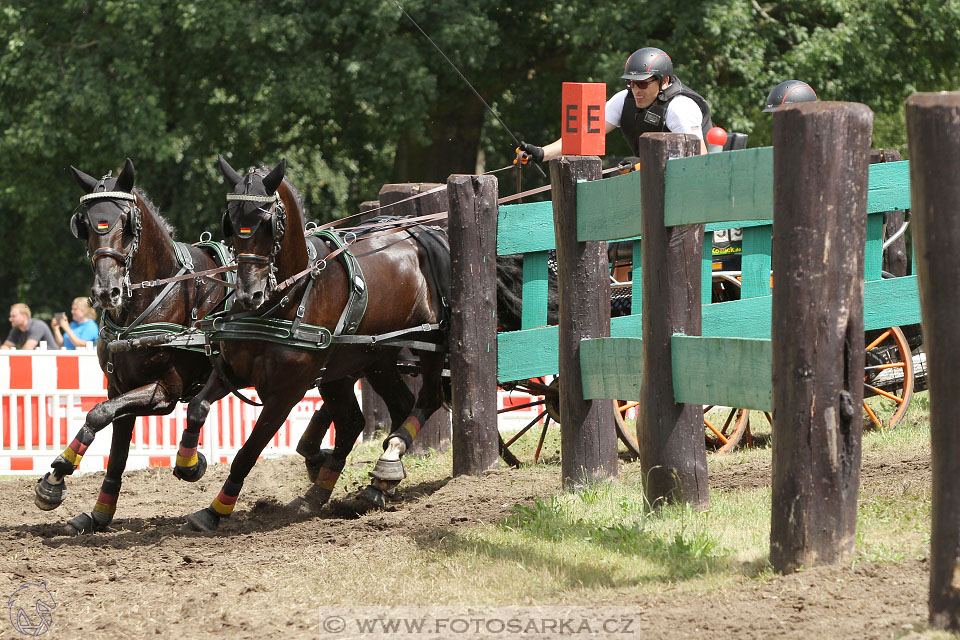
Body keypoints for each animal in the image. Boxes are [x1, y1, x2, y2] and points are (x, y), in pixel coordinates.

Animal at [180, 156, 450, 528]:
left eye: (268, 224)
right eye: (230, 223)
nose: (249, 295)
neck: (287, 297)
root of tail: (424, 233)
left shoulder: (285, 393)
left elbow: (247, 453)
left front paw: (216, 509)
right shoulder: (233, 372)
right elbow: (197, 407)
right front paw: (188, 464)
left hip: (431, 341)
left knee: (427, 399)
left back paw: (387, 463)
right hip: (373, 358)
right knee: (384, 410)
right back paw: (364, 487)